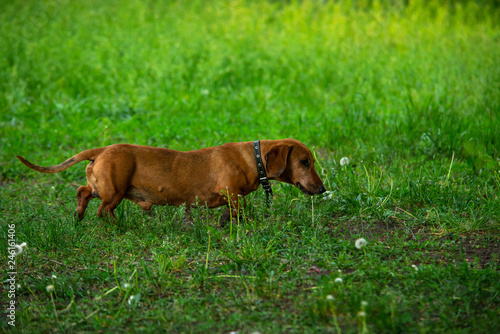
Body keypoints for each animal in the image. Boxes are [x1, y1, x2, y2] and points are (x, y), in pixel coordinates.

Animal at [15, 139, 326, 224]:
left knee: (83, 192)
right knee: (104, 210)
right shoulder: (232, 193)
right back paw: (117, 227)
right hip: (115, 190)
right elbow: (240, 211)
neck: (253, 158)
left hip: (102, 186)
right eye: (305, 162)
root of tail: (101, 151)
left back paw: (79, 215)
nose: (323, 189)